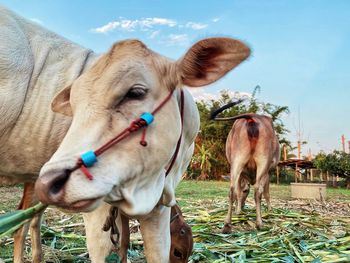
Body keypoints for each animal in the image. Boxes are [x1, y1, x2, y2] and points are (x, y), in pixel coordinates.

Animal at [0, 6, 252, 263]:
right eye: (74, 104)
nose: (50, 181)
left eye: (135, 93)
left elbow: (133, 247)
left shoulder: (157, 206)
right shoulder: (99, 206)